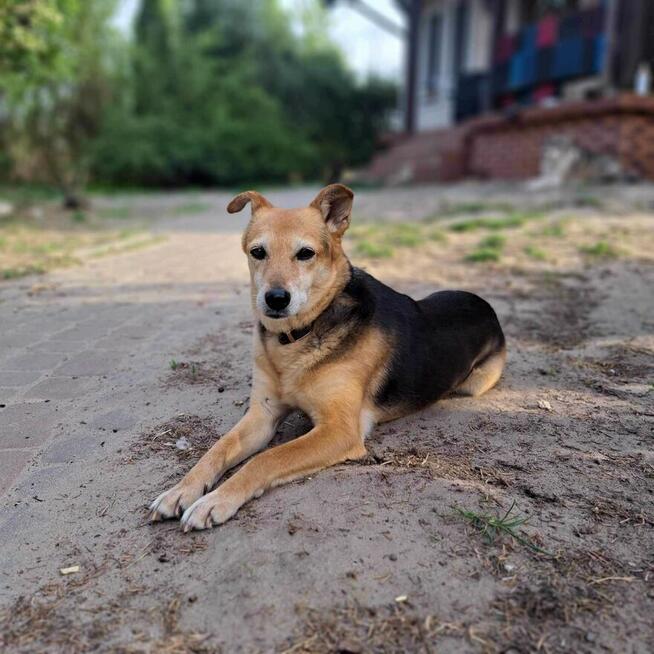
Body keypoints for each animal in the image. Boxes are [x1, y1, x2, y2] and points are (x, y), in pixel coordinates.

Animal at [151, 184, 510, 532]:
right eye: (258, 252)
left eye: (305, 253)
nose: (276, 299)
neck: (298, 337)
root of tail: (484, 304)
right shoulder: (262, 415)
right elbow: (218, 448)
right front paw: (181, 490)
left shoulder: (339, 430)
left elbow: (267, 459)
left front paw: (214, 501)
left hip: (474, 383)